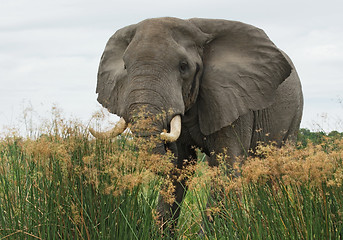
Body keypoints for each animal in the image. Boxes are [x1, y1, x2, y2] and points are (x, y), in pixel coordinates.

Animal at [90, 17, 304, 228]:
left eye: (183, 66)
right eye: (125, 67)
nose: (166, 144)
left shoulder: (234, 100)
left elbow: (226, 167)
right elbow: (180, 170)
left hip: (295, 113)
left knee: (277, 167)